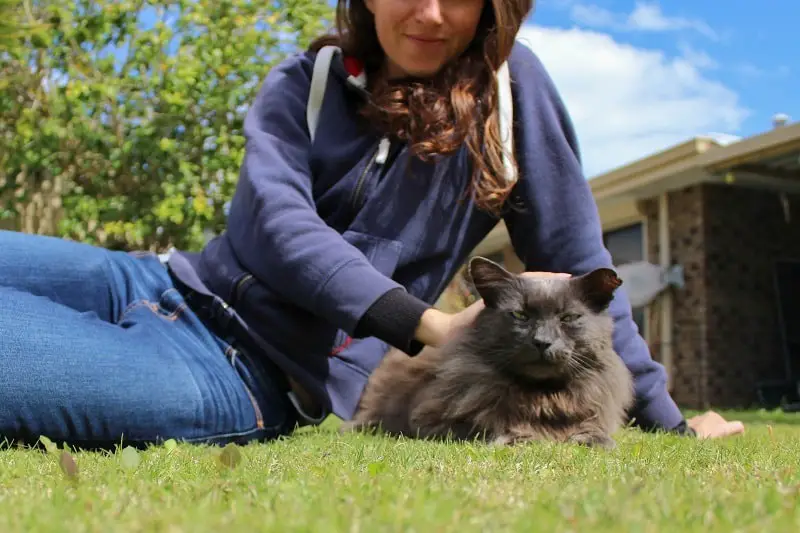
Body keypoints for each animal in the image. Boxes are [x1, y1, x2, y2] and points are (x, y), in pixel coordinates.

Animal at [340, 256, 636, 446]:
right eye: (520, 315)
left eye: (568, 318)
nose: (542, 341)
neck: (542, 397)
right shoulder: (429, 419)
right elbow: (490, 426)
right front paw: (524, 437)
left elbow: (596, 433)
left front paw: (588, 439)